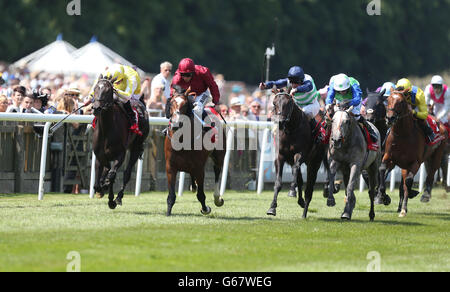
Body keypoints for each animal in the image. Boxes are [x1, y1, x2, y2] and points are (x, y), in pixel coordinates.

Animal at [92, 74, 150, 209]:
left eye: (108, 91)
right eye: (96, 88)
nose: (96, 108)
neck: (106, 129)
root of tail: (141, 101)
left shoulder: (120, 154)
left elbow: (112, 175)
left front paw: (111, 199)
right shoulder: (99, 155)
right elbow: (99, 177)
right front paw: (101, 189)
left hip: (136, 147)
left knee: (126, 173)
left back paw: (118, 197)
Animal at [164, 85, 227, 216]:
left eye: (184, 105)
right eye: (171, 103)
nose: (176, 123)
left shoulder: (199, 168)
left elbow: (201, 195)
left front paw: (205, 209)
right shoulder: (170, 167)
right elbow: (171, 195)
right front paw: (168, 212)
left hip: (218, 156)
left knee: (217, 171)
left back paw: (217, 198)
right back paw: (193, 186)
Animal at [266, 90, 326, 218]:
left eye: (289, 104)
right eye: (274, 103)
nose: (280, 122)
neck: (290, 130)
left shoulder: (300, 154)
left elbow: (296, 169)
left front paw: (292, 190)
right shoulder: (280, 157)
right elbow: (278, 183)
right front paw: (272, 208)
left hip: (314, 163)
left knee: (309, 188)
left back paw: (304, 212)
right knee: (300, 179)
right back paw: (300, 201)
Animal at [376, 88, 446, 217]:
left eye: (401, 102)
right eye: (388, 100)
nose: (390, 118)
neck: (403, 134)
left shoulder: (415, 162)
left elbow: (408, 182)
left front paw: (404, 209)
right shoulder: (389, 157)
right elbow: (382, 169)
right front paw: (382, 196)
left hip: (437, 154)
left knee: (431, 172)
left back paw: (425, 195)